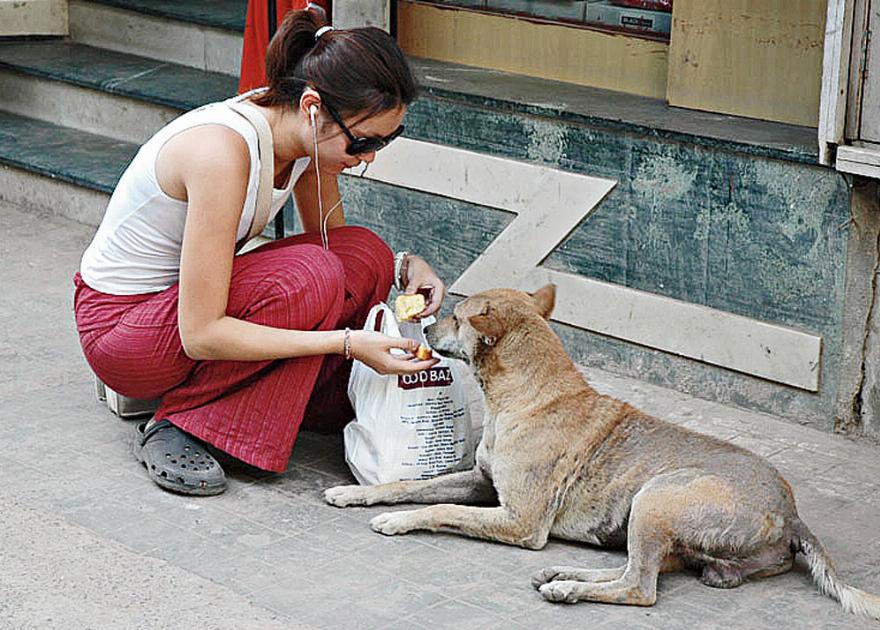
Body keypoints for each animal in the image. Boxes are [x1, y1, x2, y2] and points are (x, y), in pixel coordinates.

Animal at [324, 285, 880, 619]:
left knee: (641, 586)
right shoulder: (481, 482)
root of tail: (791, 513)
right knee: (641, 568)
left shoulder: (520, 522)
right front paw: (356, 494)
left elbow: (437, 507)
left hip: (656, 498)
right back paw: (566, 574)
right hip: (653, 520)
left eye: (457, 317)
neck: (525, 395)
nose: (426, 327)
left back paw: (568, 588)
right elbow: (410, 485)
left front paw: (398, 521)